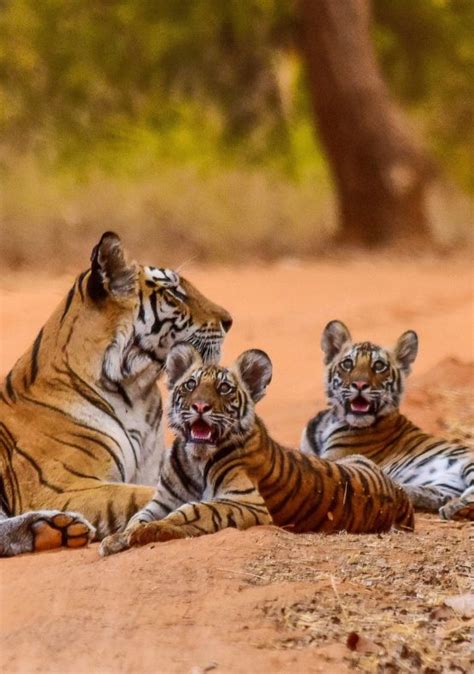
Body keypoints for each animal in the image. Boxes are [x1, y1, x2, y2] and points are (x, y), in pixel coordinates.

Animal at [0, 231, 232, 556]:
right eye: (174, 293)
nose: (229, 320)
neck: (136, 392)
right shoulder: (62, 487)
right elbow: (143, 497)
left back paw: (51, 529)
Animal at [99, 343, 414, 556]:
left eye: (224, 389)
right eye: (190, 384)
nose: (200, 406)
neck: (195, 459)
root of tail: (399, 494)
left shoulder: (246, 501)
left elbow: (195, 510)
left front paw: (150, 531)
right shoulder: (163, 500)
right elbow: (138, 517)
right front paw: (117, 539)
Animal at [300, 320, 474, 521]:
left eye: (379, 366)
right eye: (348, 363)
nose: (360, 385)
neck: (331, 419)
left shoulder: (335, 458)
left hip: (468, 464)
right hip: (442, 485)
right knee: (437, 496)